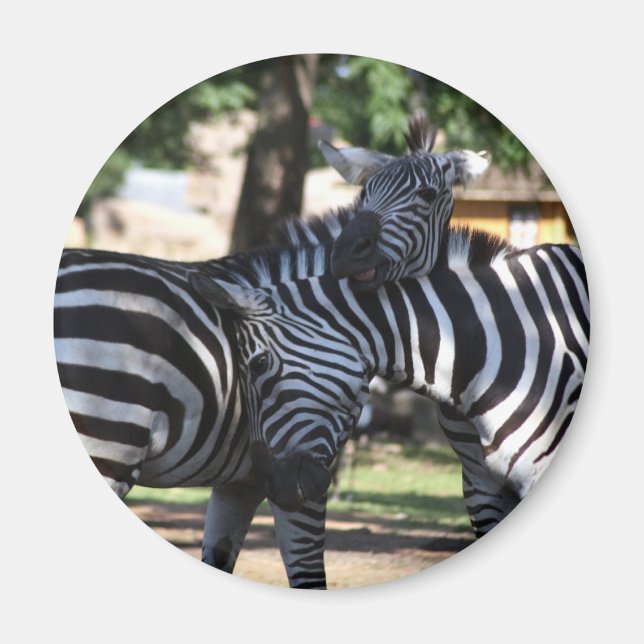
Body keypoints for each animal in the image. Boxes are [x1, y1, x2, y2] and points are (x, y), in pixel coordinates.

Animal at [55, 115, 489, 585]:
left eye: (427, 196)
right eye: (363, 195)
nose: (345, 257)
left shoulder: (246, 478)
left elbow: (220, 555)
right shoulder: (304, 469)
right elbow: (308, 574)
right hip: (109, 442)